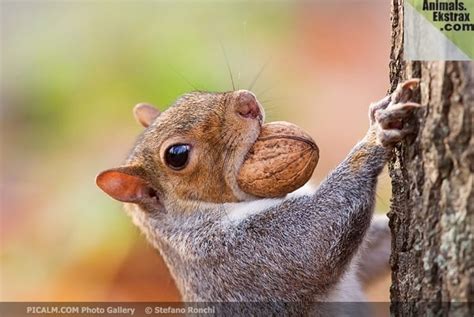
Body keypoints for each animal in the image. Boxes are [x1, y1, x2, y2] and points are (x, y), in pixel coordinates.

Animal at [96, 78, 422, 314]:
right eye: (177, 155)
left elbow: (369, 255)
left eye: (190, 96)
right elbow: (316, 240)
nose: (246, 101)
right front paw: (377, 132)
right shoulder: (237, 255)